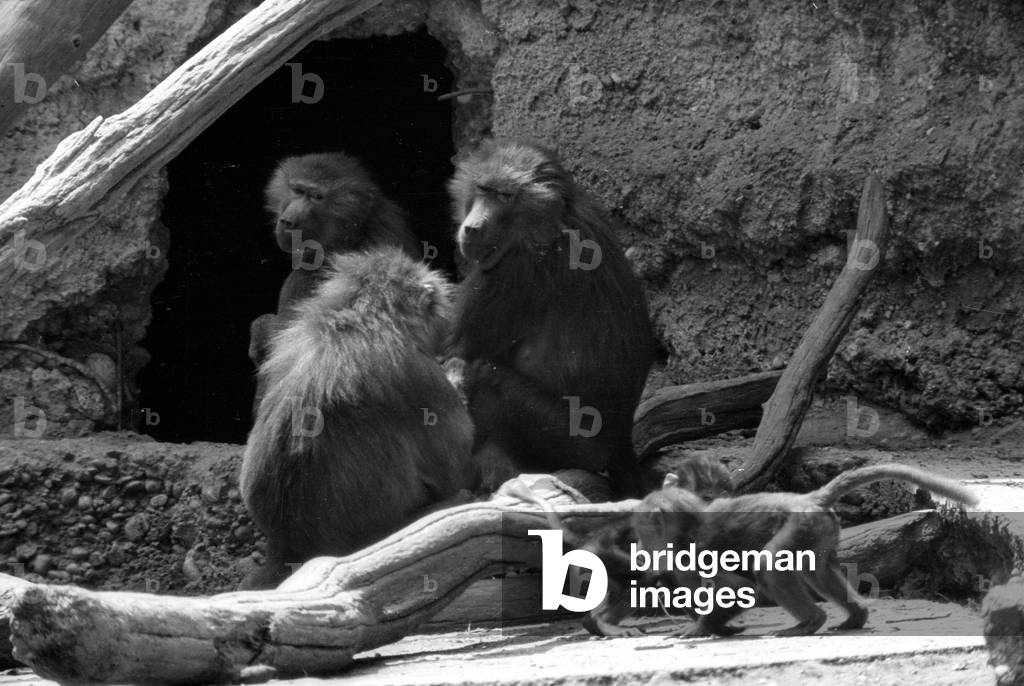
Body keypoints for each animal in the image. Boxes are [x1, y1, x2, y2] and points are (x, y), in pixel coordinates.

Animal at [448, 139, 656, 496]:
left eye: (505, 197)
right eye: (483, 189)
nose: (472, 228)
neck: (555, 220)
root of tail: (620, 446)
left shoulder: (515, 268)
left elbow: (457, 356)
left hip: (574, 445)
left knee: (484, 375)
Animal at [632, 464, 979, 638]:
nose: (638, 544)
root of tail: (809, 499)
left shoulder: (693, 553)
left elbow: (739, 588)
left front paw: (700, 628)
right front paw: (722, 628)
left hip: (801, 524)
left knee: (770, 565)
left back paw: (812, 621)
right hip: (819, 529)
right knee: (818, 571)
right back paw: (855, 616)